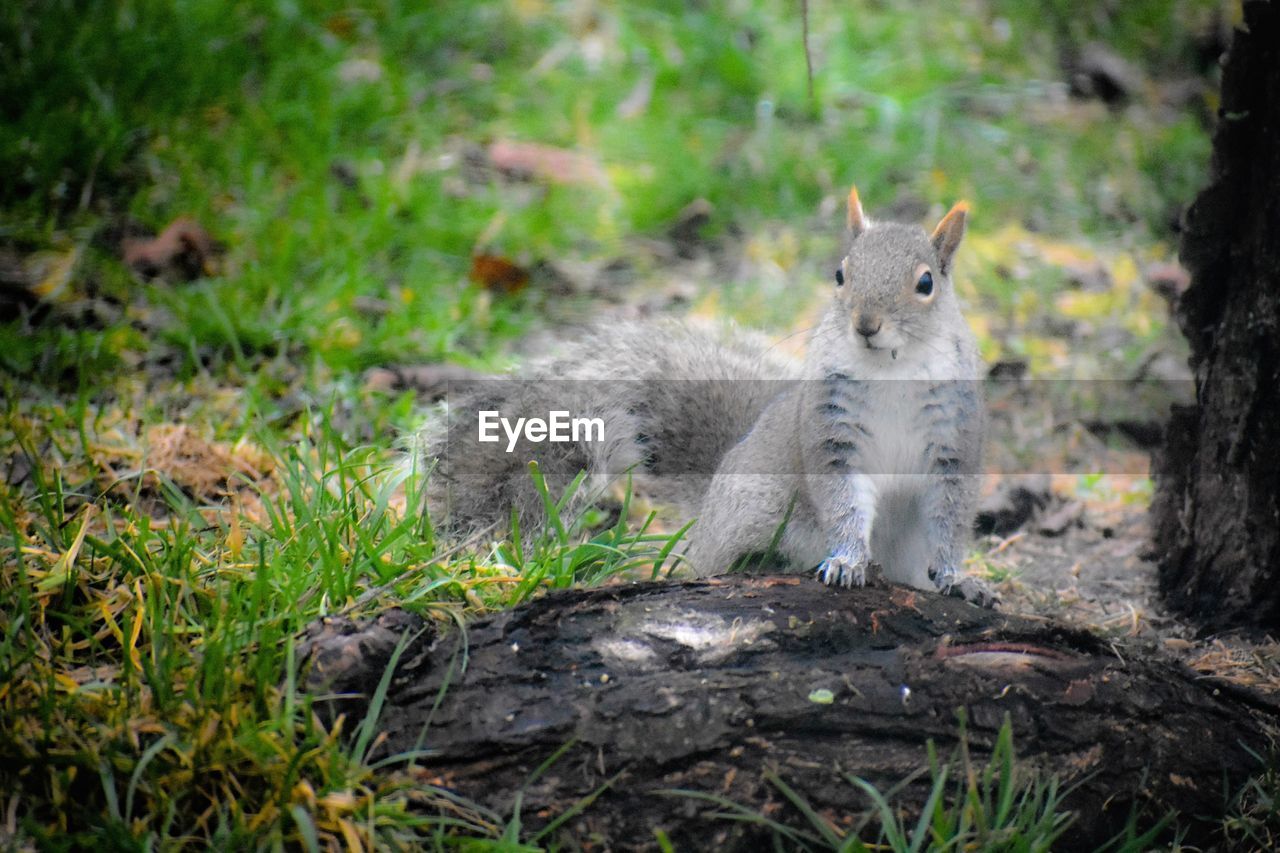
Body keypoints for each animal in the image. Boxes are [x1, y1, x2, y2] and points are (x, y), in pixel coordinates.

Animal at [414, 185, 993, 604]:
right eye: (840, 274)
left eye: (925, 284)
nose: (866, 325)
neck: (890, 370)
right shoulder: (830, 433)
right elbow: (842, 499)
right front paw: (847, 561)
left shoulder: (956, 438)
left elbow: (948, 518)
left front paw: (958, 579)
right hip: (757, 508)